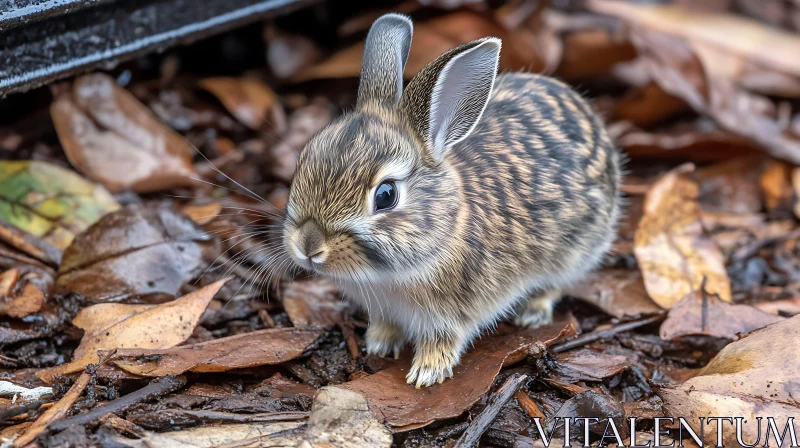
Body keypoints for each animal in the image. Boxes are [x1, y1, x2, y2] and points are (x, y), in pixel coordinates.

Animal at [284, 12, 620, 386]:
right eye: (303, 159)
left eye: (386, 195)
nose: (309, 246)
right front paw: (379, 344)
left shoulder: (454, 314)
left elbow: (444, 339)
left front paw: (426, 373)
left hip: (574, 251)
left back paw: (532, 312)